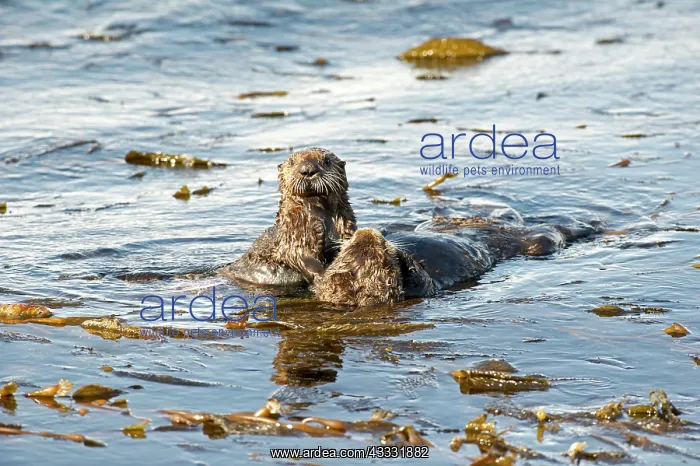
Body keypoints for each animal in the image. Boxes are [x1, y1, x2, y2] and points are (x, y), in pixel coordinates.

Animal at [220, 147, 356, 287]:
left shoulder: (345, 225)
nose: (307, 170)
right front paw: (321, 274)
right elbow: (299, 255)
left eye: (327, 160)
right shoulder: (295, 232)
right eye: (292, 162)